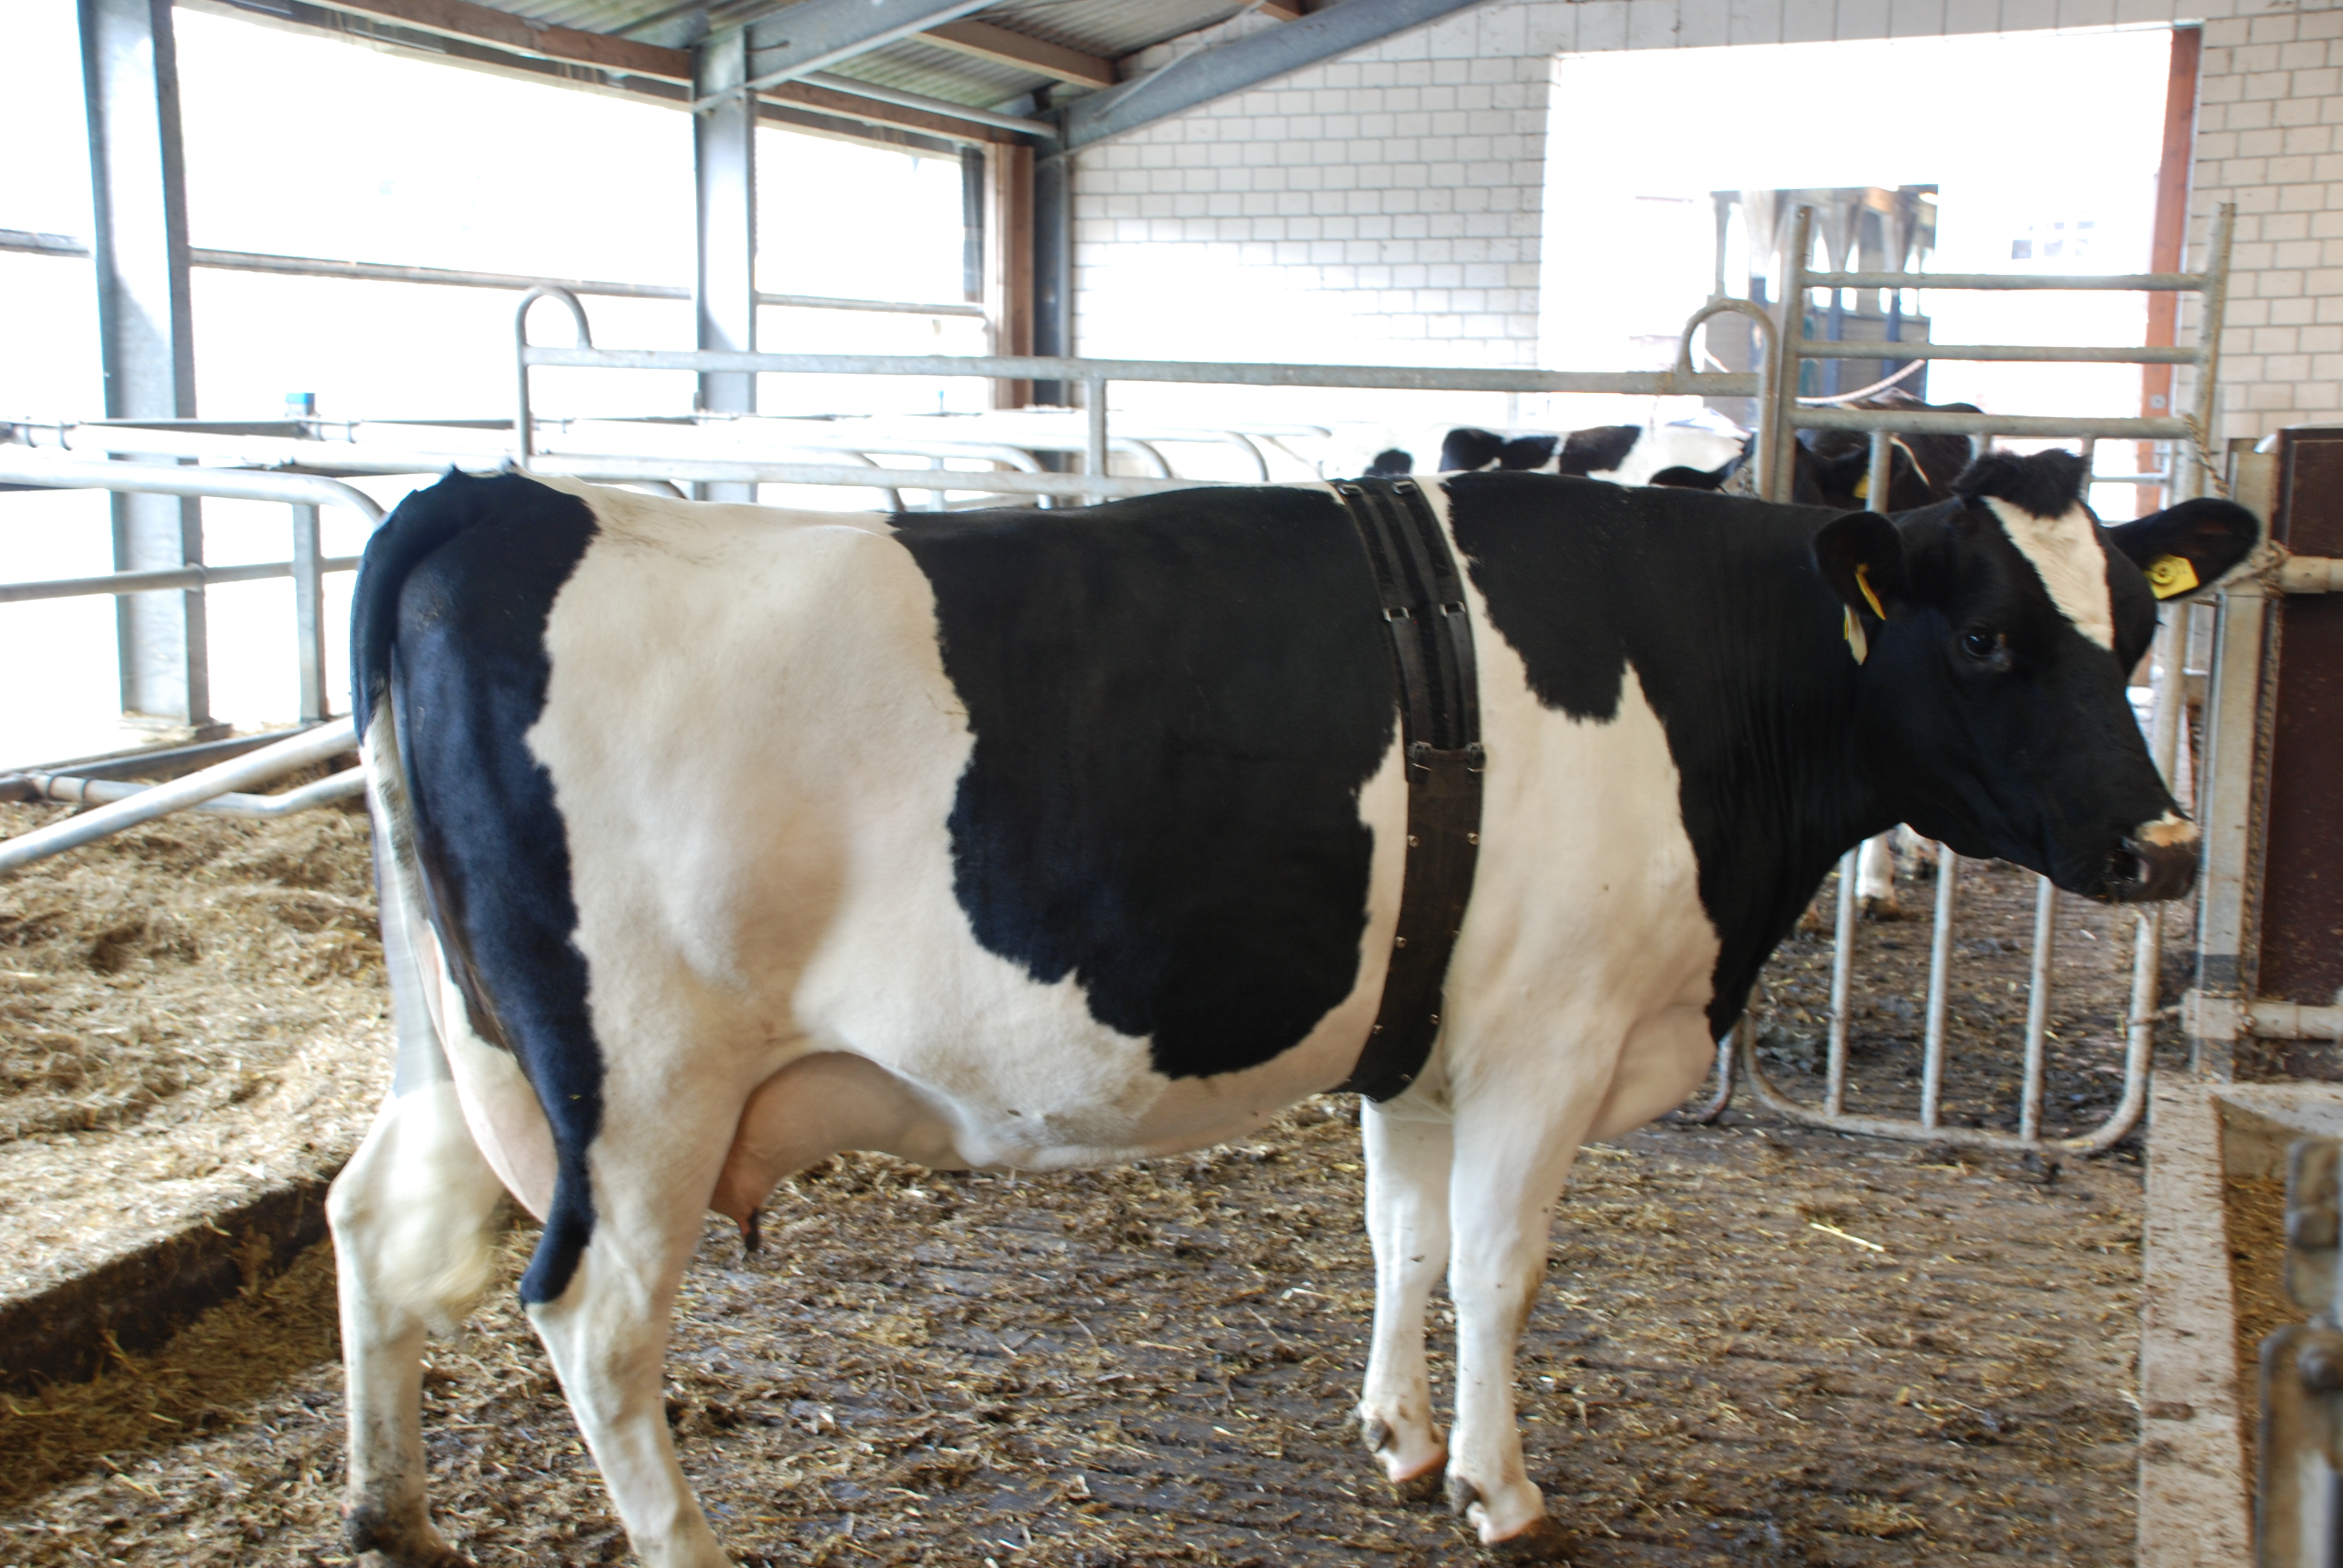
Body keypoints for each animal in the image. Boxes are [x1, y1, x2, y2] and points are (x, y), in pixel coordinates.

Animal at [326, 445, 2249, 1556]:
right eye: (1989, 641)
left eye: (2136, 635)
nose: (2164, 847)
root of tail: (494, 498)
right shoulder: (1548, 1036)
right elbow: (1498, 1264)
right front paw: (1498, 1488)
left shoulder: (1430, 1039)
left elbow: (1405, 1239)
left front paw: (1397, 1437)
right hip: (638, 1089)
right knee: (595, 1326)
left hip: (460, 1046)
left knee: (372, 1224)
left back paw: (386, 1512)